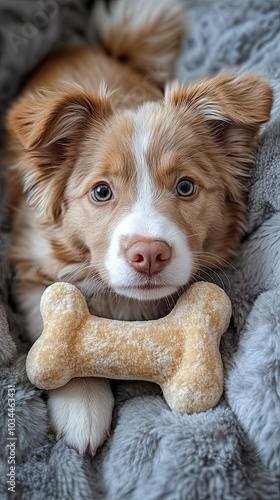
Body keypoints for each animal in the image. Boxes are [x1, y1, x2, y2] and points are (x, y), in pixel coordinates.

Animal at [4, 0, 272, 456]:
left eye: (186, 187)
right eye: (101, 191)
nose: (148, 255)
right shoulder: (31, 260)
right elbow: (56, 321)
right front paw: (82, 404)